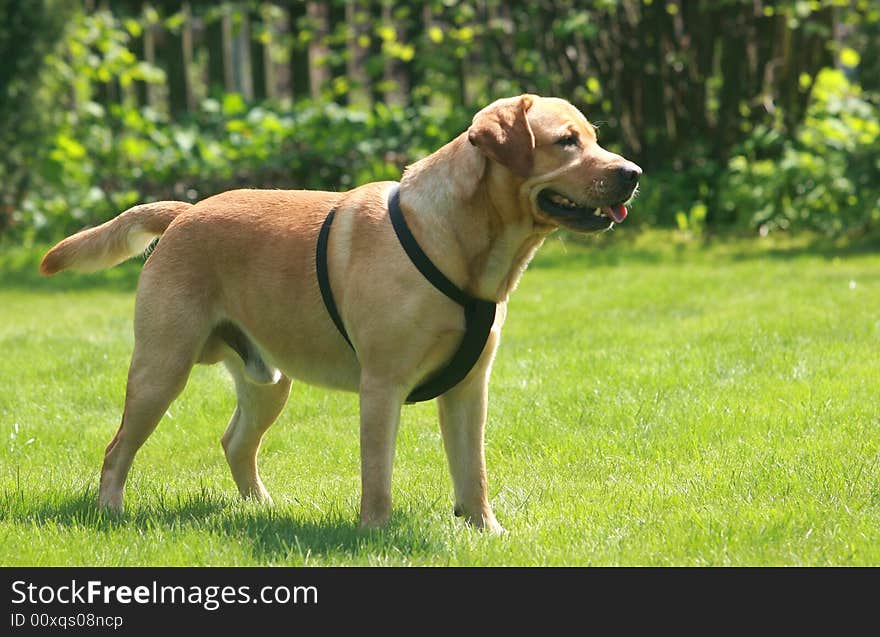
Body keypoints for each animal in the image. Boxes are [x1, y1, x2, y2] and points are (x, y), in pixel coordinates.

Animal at [39, 93, 640, 532]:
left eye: (594, 138)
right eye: (566, 142)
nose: (633, 172)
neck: (464, 244)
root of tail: (185, 212)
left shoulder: (471, 388)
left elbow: (474, 473)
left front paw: (485, 531)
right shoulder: (382, 385)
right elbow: (377, 474)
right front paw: (375, 534)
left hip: (267, 380)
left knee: (235, 443)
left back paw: (262, 508)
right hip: (161, 369)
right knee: (117, 449)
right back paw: (111, 513)